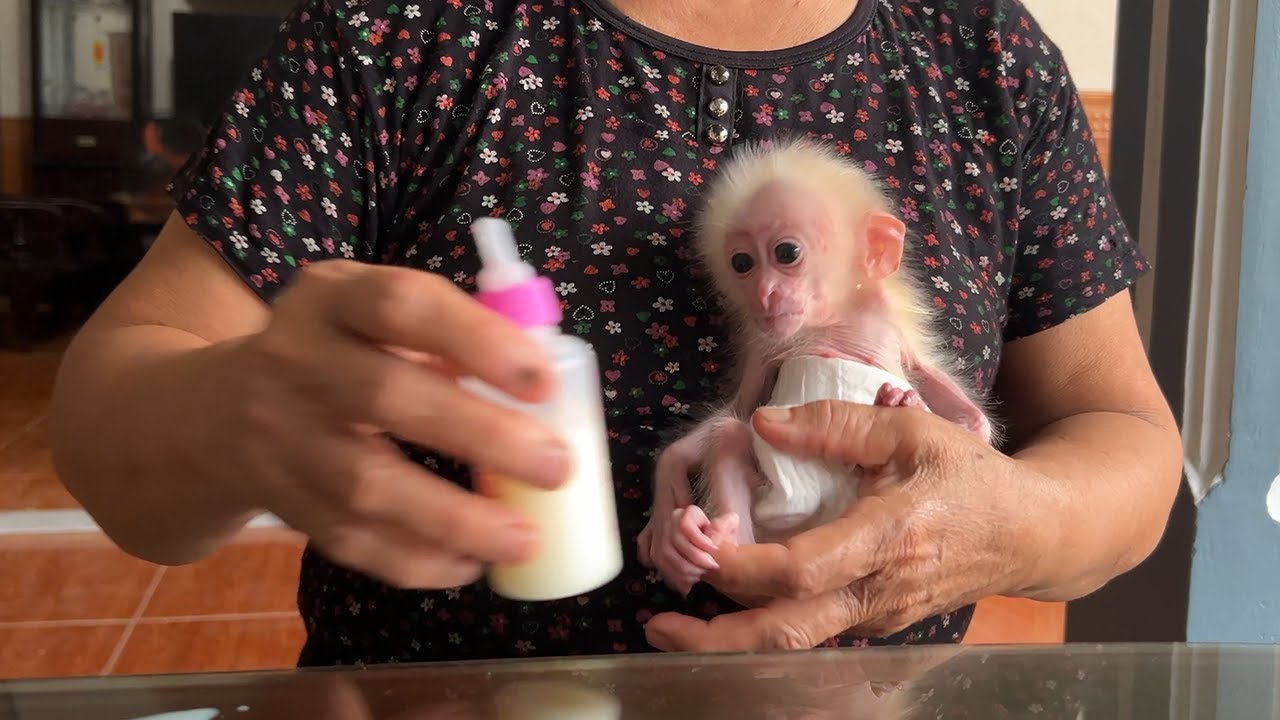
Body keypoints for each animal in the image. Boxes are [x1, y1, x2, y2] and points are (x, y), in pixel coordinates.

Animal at [636, 137, 998, 597]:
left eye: (786, 253)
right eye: (742, 263)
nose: (763, 293)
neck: (831, 321)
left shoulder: (890, 326)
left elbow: (970, 423)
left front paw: (909, 404)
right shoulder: (767, 344)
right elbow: (739, 408)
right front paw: (668, 486)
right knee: (729, 433)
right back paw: (704, 540)